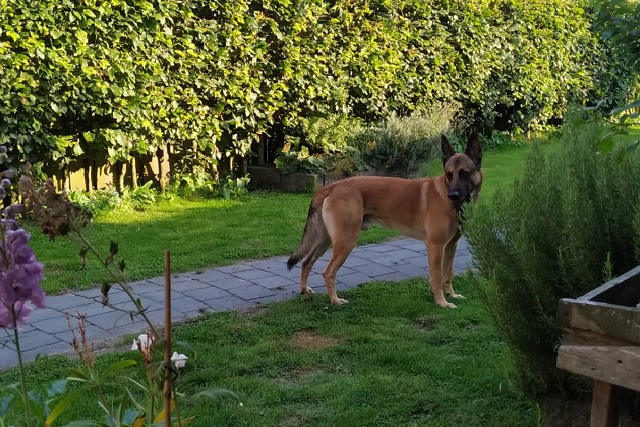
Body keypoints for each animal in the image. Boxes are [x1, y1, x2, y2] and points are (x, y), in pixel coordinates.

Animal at [288, 133, 482, 308]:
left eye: (464, 173)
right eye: (449, 174)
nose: (453, 195)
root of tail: (330, 187)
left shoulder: (451, 246)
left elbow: (447, 274)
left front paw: (451, 295)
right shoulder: (435, 246)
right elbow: (437, 277)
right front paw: (442, 302)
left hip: (325, 240)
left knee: (306, 262)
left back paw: (304, 289)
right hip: (345, 241)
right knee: (328, 272)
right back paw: (335, 300)